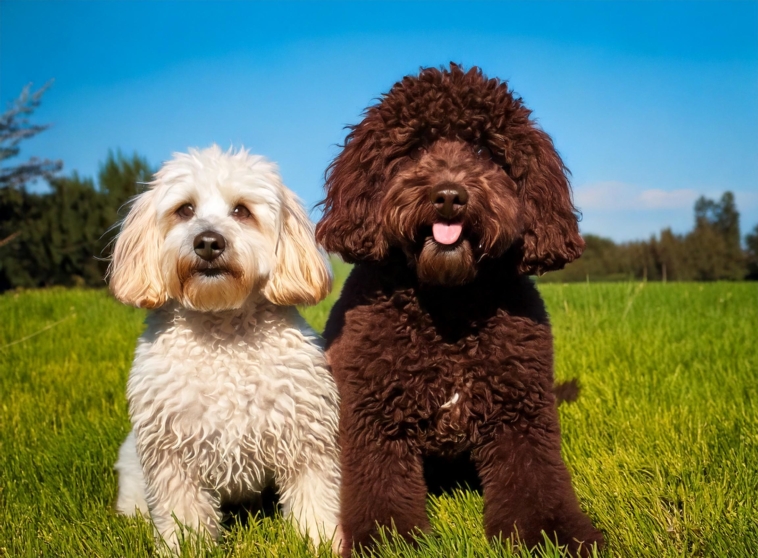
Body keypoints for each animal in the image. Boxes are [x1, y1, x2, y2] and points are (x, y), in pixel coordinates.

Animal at [107, 147, 342, 552]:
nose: (207, 241)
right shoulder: (172, 456)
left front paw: (322, 543)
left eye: (242, 211)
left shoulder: (305, 442)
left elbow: (315, 503)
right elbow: (183, 518)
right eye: (185, 209)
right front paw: (184, 549)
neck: (223, 328)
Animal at [316, 64, 604, 556]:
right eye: (414, 147)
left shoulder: (521, 415)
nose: (449, 196)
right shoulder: (375, 419)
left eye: (484, 149)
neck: (448, 305)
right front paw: (388, 541)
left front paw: (555, 536)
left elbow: (536, 485)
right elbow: (381, 491)